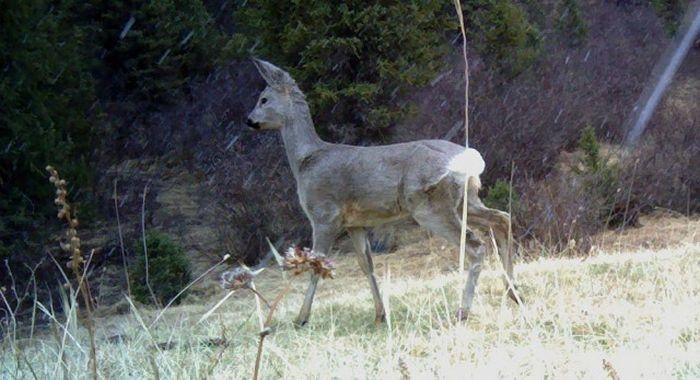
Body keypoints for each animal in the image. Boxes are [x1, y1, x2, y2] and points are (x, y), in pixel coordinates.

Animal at [246, 59, 520, 326]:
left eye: (264, 99)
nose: (249, 120)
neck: (305, 160)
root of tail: (471, 159)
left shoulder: (323, 215)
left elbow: (317, 265)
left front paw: (301, 318)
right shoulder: (355, 223)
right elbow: (366, 264)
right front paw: (380, 314)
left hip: (432, 207)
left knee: (476, 245)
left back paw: (463, 311)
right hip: (467, 200)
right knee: (502, 218)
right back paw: (513, 292)